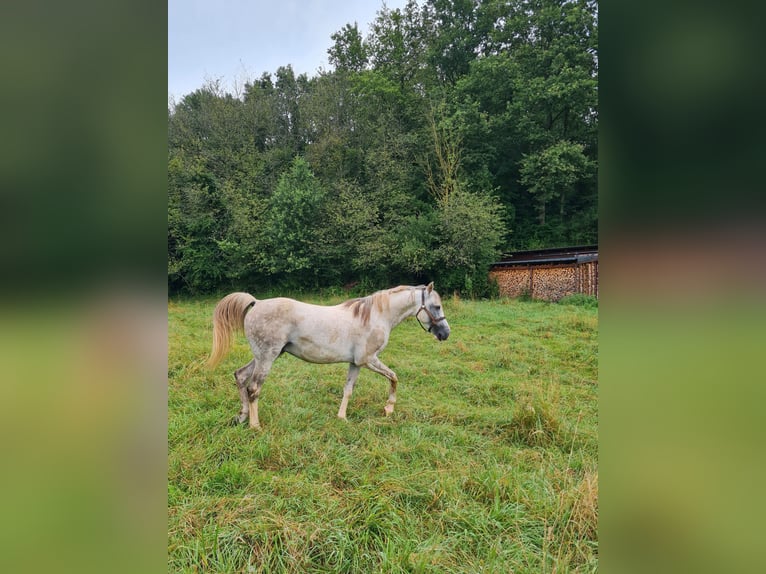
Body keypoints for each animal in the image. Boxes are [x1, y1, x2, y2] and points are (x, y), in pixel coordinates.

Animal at [207, 284, 452, 432]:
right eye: (436, 306)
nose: (445, 333)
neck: (375, 316)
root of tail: (257, 302)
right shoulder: (369, 360)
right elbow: (394, 377)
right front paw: (389, 408)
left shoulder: (356, 363)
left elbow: (348, 390)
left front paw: (342, 417)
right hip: (267, 357)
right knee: (254, 388)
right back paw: (255, 425)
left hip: (262, 357)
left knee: (241, 377)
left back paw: (242, 417)